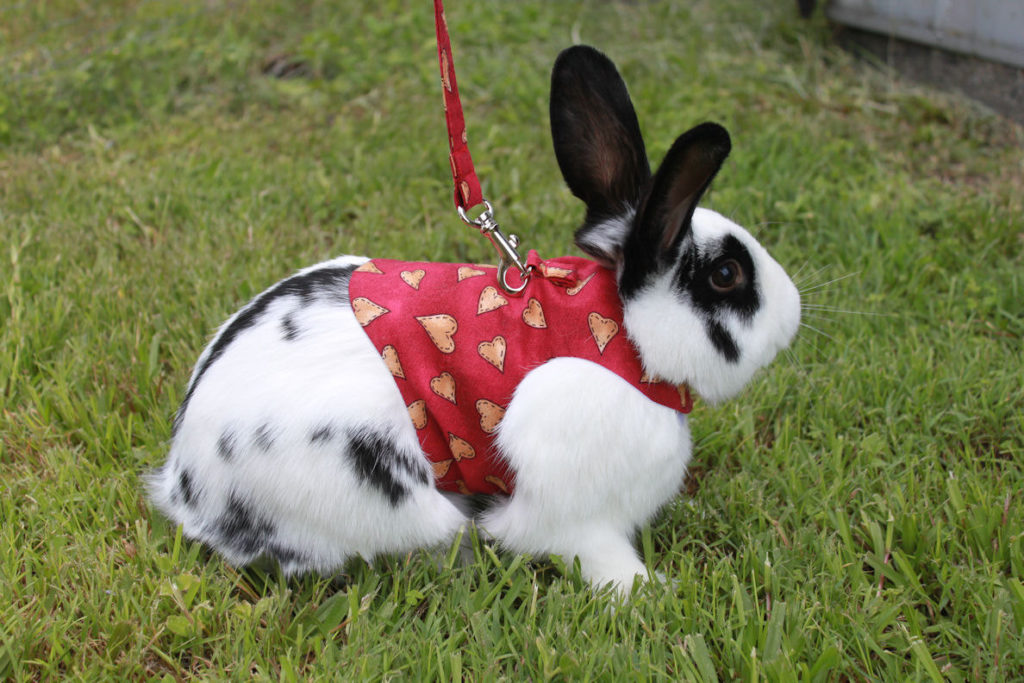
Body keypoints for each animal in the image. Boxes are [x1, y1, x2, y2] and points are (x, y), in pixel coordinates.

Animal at [147, 45, 801, 594]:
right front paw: (650, 594)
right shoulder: (576, 513)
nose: (793, 314)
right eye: (727, 275)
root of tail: (185, 483)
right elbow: (593, 553)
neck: (623, 337)